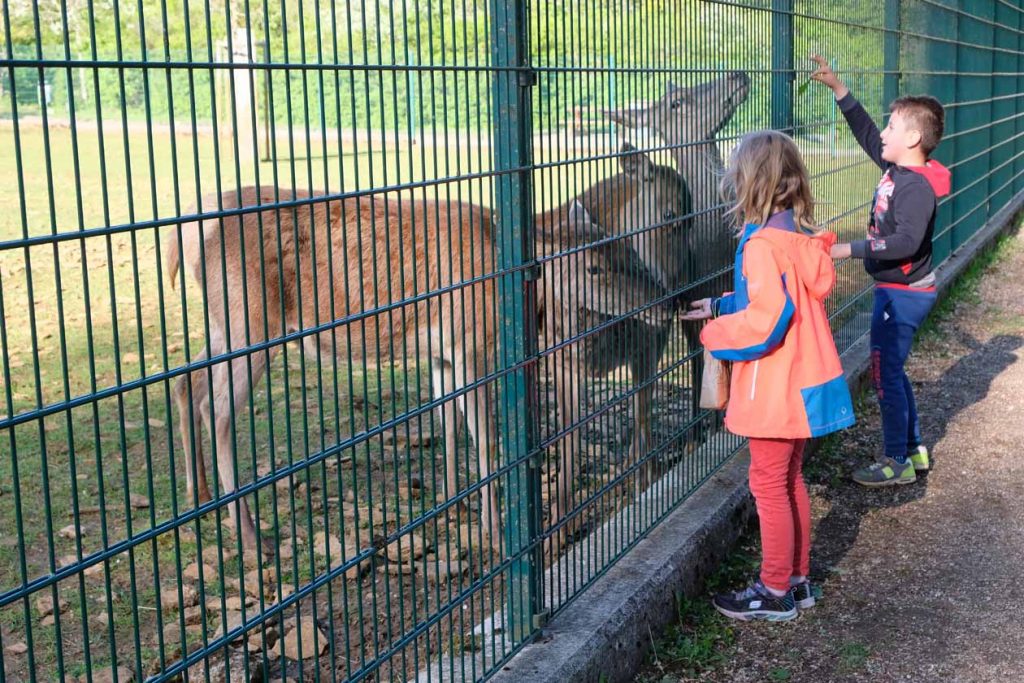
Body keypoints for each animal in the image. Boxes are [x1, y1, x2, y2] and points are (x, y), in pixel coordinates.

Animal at [163, 144, 684, 557]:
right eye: (594, 268)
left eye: (624, 251)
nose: (666, 304)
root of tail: (181, 236)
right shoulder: (473, 344)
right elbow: (486, 440)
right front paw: (496, 533)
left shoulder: (442, 351)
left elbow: (447, 419)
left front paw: (454, 500)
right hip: (250, 322)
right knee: (218, 408)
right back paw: (252, 537)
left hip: (220, 322)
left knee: (186, 381)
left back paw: (198, 494)